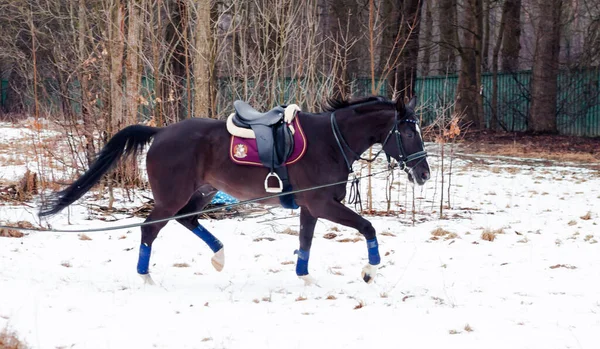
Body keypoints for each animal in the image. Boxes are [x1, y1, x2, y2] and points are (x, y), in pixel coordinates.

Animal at [38, 94, 432, 282]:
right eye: (409, 131)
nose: (425, 174)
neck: (330, 140)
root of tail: (160, 132)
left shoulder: (310, 208)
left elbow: (305, 244)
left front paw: (305, 280)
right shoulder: (322, 204)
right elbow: (368, 227)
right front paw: (370, 271)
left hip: (202, 192)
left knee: (187, 220)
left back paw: (219, 255)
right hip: (172, 196)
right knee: (150, 228)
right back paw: (146, 277)